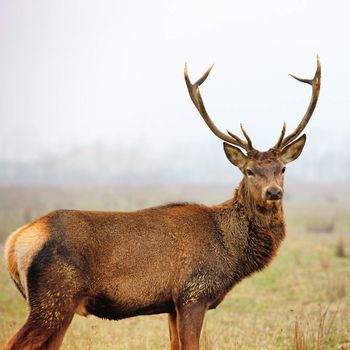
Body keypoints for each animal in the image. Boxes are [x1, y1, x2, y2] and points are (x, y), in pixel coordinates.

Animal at [2, 57, 320, 350]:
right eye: (249, 171)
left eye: (283, 168)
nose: (273, 192)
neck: (231, 255)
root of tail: (15, 242)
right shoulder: (193, 294)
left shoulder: (170, 305)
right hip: (54, 298)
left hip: (57, 306)